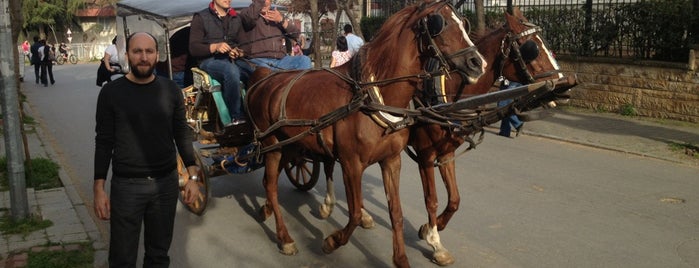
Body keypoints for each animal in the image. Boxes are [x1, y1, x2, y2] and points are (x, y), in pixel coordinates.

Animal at [246, 1, 486, 266]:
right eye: (438, 24)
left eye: (464, 23)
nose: (478, 63)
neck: (373, 94)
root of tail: (263, 78)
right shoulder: (352, 164)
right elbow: (353, 212)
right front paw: (332, 241)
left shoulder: (392, 160)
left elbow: (396, 212)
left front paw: (401, 258)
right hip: (273, 145)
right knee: (271, 186)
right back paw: (285, 237)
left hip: (291, 145)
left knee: (272, 179)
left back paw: (267, 210)